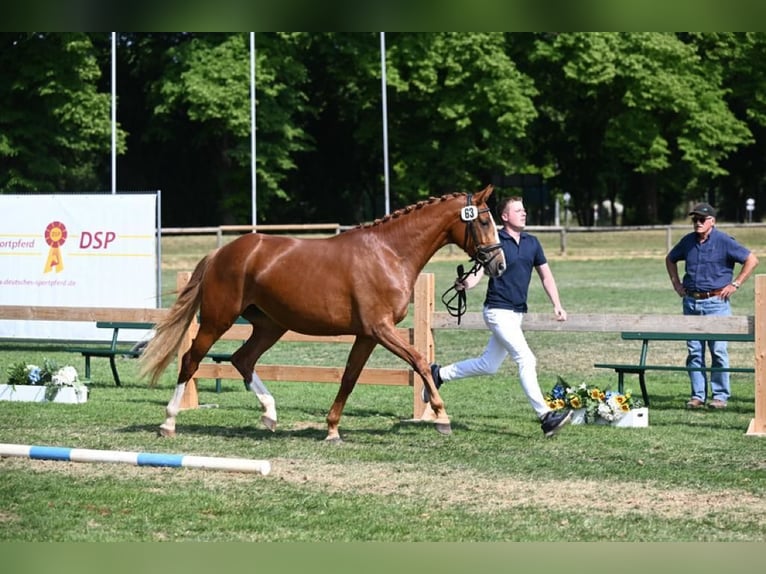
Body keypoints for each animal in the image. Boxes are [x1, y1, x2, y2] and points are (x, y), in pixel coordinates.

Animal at [141, 184, 508, 440]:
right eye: (485, 220)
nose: (499, 264)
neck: (389, 253)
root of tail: (220, 254)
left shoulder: (368, 335)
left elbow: (349, 377)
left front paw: (332, 429)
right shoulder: (381, 329)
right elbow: (419, 360)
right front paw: (442, 417)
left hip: (270, 326)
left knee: (242, 359)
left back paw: (270, 414)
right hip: (218, 320)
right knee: (191, 359)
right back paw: (169, 421)